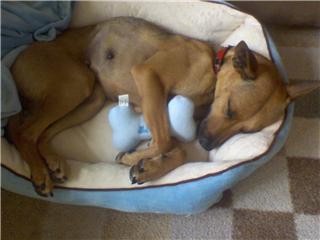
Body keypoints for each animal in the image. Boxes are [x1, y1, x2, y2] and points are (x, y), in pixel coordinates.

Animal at [6, 17, 318, 197]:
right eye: (230, 109)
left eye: (246, 130)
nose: (205, 144)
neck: (213, 69)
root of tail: (14, 62)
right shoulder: (148, 78)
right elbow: (166, 140)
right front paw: (133, 158)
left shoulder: (154, 103)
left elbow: (176, 149)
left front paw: (148, 167)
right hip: (75, 85)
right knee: (23, 130)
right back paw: (39, 172)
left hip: (90, 100)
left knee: (39, 132)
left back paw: (53, 162)